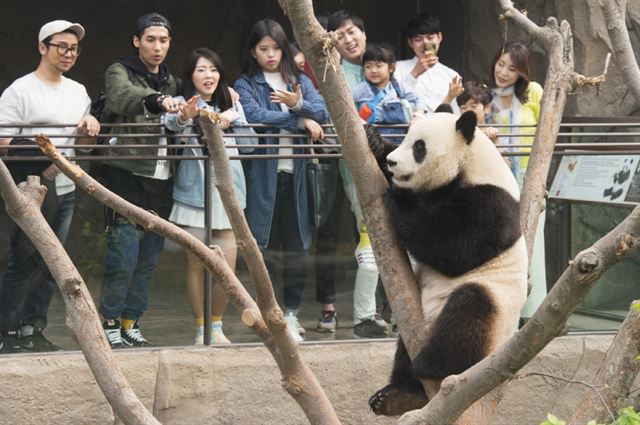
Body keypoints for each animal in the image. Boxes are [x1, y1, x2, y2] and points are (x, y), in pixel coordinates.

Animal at [368, 111, 528, 416]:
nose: (393, 162)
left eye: (419, 147)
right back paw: (398, 396)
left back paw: (429, 366)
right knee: (404, 347)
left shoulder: (492, 204)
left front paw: (400, 198)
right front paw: (375, 142)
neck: (468, 163)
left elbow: (453, 247)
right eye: (405, 139)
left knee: (468, 313)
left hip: (495, 311)